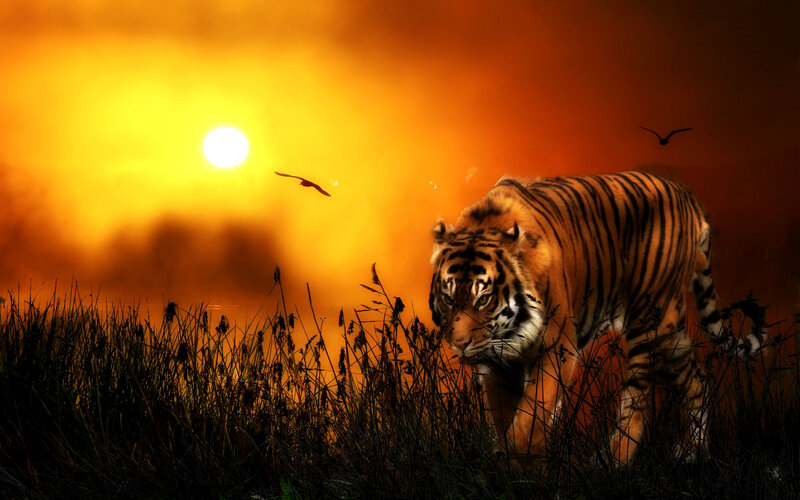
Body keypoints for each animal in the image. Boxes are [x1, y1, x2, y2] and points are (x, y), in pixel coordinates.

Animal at [428, 170, 766, 466]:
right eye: (449, 298)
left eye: (483, 299)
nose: (459, 344)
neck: (509, 332)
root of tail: (687, 197)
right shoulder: (499, 361)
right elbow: (503, 416)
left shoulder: (557, 347)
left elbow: (529, 416)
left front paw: (525, 462)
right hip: (670, 329)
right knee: (697, 378)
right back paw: (692, 451)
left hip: (648, 322)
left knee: (637, 401)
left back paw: (614, 460)